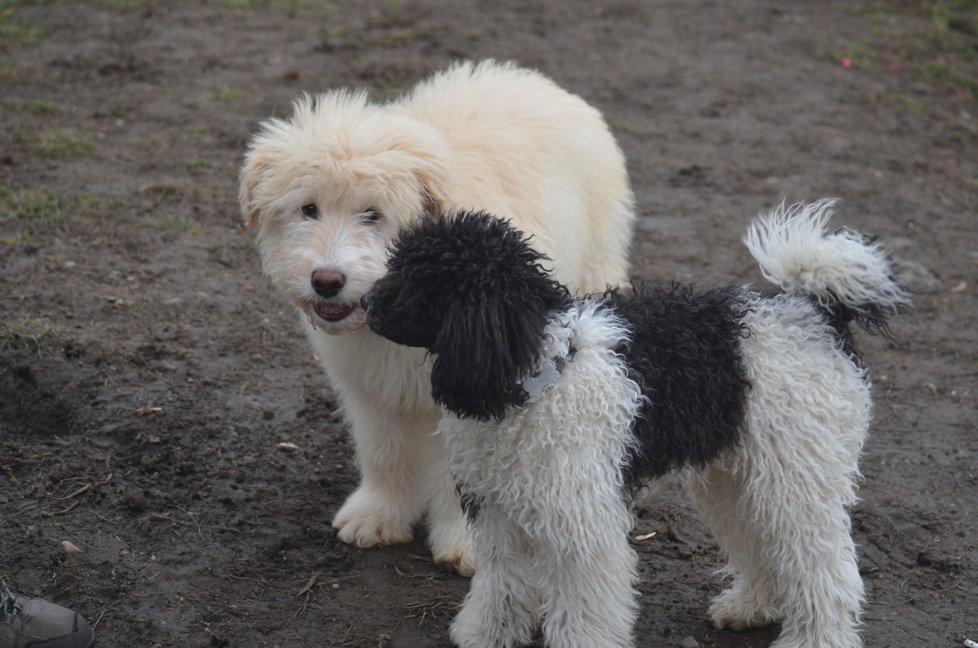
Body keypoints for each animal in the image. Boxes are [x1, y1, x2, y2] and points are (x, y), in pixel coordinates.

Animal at [237, 59, 632, 572]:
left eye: (373, 214)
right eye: (309, 208)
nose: (327, 280)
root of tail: (532, 78)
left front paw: (467, 543)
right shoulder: (371, 388)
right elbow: (383, 450)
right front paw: (379, 516)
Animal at [362, 202, 912, 648]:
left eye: (422, 279)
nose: (365, 303)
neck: (537, 377)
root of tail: (818, 313)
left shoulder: (581, 521)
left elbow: (583, 607)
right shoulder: (500, 509)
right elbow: (502, 585)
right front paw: (486, 634)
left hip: (798, 477)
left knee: (825, 568)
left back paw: (816, 637)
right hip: (737, 479)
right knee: (761, 545)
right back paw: (749, 607)